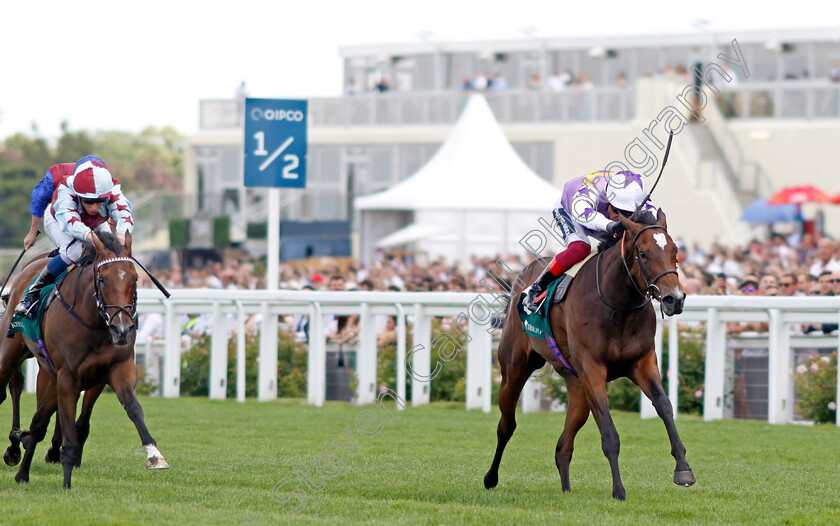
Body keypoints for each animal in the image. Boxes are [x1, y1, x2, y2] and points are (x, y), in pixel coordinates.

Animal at [0, 233, 169, 488]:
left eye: (135, 278)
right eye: (102, 279)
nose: (122, 329)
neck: (94, 323)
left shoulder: (116, 369)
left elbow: (133, 408)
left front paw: (154, 454)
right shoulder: (68, 376)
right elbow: (67, 425)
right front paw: (66, 478)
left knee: (39, 420)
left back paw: (23, 468)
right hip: (12, 353)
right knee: (11, 389)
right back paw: (18, 452)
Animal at [486, 210, 696, 504]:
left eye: (675, 251)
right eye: (643, 253)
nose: (674, 299)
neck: (617, 305)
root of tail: (524, 276)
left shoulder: (642, 362)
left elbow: (664, 406)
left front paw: (683, 470)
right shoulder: (593, 369)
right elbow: (609, 432)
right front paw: (619, 490)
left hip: (576, 387)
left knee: (563, 446)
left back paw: (566, 490)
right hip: (514, 369)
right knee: (506, 426)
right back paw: (490, 478)